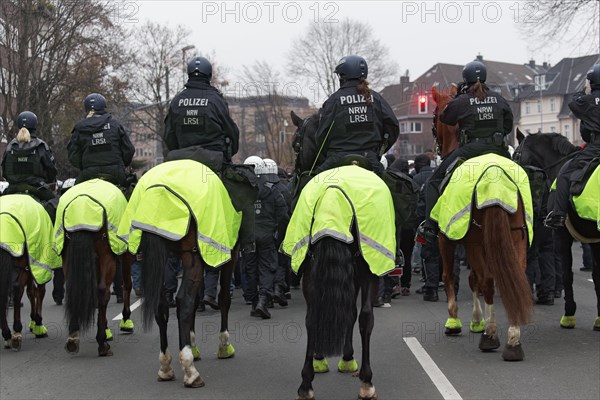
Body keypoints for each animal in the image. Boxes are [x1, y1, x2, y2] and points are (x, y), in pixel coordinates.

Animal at [0, 194, 60, 350]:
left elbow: (31, 292)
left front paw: (34, 322)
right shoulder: (35, 265)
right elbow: (38, 291)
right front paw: (38, 324)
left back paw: (8, 334)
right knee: (17, 291)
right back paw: (15, 332)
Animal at [54, 180, 134, 354]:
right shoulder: (124, 253)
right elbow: (126, 285)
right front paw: (124, 321)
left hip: (68, 257)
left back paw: (73, 339)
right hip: (107, 257)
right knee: (103, 292)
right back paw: (102, 343)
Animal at [432, 86, 536, 360]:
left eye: (435, 116)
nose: (436, 144)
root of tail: (494, 176)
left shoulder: (447, 239)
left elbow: (453, 276)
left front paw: (458, 320)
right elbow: (475, 279)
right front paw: (476, 320)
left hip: (477, 241)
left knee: (488, 281)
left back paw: (491, 335)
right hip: (515, 236)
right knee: (513, 279)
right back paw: (513, 338)